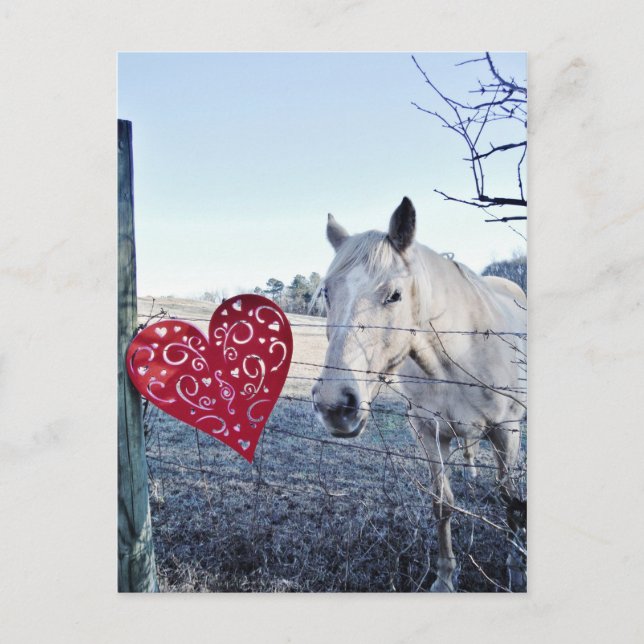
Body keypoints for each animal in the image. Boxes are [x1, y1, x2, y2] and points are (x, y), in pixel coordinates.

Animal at [311, 197, 527, 592]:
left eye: (394, 295)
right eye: (327, 292)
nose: (335, 405)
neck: (460, 354)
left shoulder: (507, 431)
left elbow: (511, 500)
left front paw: (516, 570)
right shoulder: (429, 432)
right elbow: (441, 503)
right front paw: (445, 578)